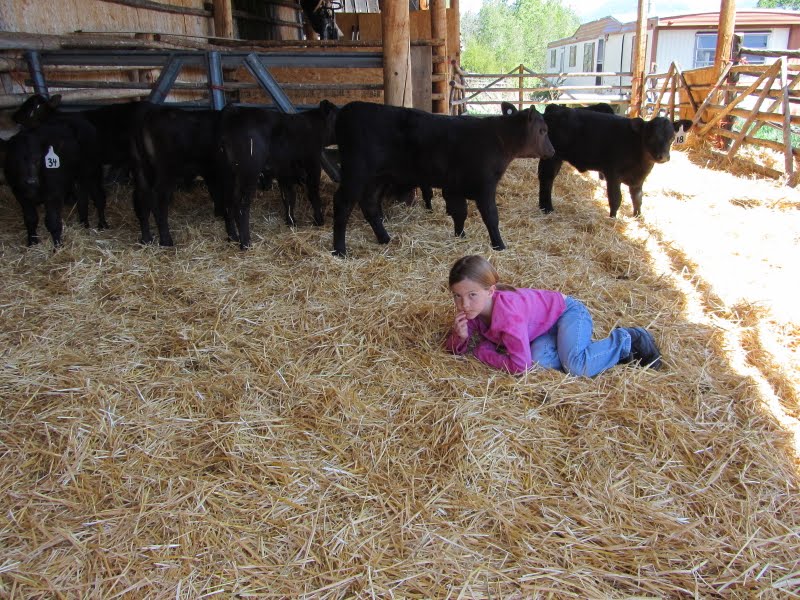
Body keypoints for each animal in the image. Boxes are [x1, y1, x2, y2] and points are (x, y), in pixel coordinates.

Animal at [3, 117, 107, 247]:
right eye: (15, 160)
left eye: (38, 158)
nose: (30, 181)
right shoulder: (19, 194)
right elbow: (30, 218)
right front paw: (32, 242)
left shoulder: (54, 193)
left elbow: (53, 221)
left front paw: (58, 246)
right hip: (77, 178)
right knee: (82, 198)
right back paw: (84, 225)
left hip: (92, 171)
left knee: (99, 197)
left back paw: (102, 224)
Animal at [129, 104, 224, 246]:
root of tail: (151, 111)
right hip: (166, 171)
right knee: (158, 200)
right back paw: (166, 240)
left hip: (140, 168)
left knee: (142, 199)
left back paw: (146, 239)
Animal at [218, 100, 338, 249]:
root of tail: (233, 112)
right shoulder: (313, 165)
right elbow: (313, 194)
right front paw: (319, 221)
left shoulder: (284, 172)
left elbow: (288, 197)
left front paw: (291, 222)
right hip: (248, 174)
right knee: (241, 206)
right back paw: (245, 244)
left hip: (227, 176)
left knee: (227, 203)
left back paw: (232, 238)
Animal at [331, 101, 554, 257]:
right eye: (542, 131)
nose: (552, 151)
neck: (497, 139)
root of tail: (348, 109)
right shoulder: (485, 185)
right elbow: (491, 216)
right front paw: (499, 245)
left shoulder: (454, 186)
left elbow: (459, 213)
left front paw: (460, 236)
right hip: (356, 173)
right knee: (342, 204)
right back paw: (340, 250)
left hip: (377, 178)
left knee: (369, 204)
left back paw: (385, 238)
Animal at [537, 103, 692, 217]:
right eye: (651, 136)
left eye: (672, 137)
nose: (663, 156)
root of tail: (554, 109)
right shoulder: (612, 174)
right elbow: (616, 198)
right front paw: (613, 218)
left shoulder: (638, 180)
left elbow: (638, 198)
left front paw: (638, 217)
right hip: (551, 157)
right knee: (546, 179)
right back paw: (547, 208)